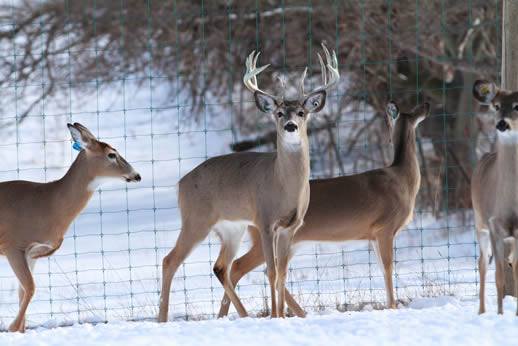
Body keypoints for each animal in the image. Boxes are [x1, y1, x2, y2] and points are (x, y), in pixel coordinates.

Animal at [156, 43, 340, 322]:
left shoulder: (290, 226)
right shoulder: (264, 221)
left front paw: (281, 315)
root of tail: (181, 184)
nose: (290, 126)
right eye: (278, 113)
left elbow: (282, 273)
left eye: (301, 112)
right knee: (170, 260)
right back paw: (162, 319)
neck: (284, 186)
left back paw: (242, 315)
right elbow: (272, 272)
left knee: (221, 266)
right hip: (196, 219)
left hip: (232, 228)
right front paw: (276, 316)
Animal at [217, 100, 432, 318]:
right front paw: (392, 307)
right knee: (237, 266)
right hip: (265, 237)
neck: (402, 179)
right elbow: (388, 269)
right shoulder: (385, 228)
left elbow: (382, 267)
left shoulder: (372, 236)